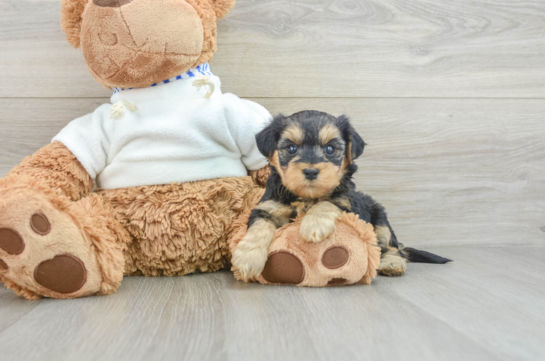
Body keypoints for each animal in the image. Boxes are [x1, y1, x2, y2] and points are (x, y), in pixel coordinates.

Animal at [232, 109, 448, 278]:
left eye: (330, 148)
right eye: (291, 148)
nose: (311, 171)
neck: (307, 197)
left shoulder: (348, 203)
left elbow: (328, 202)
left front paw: (313, 225)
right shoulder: (268, 206)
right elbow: (258, 227)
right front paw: (247, 258)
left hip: (380, 220)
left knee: (391, 247)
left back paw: (392, 263)